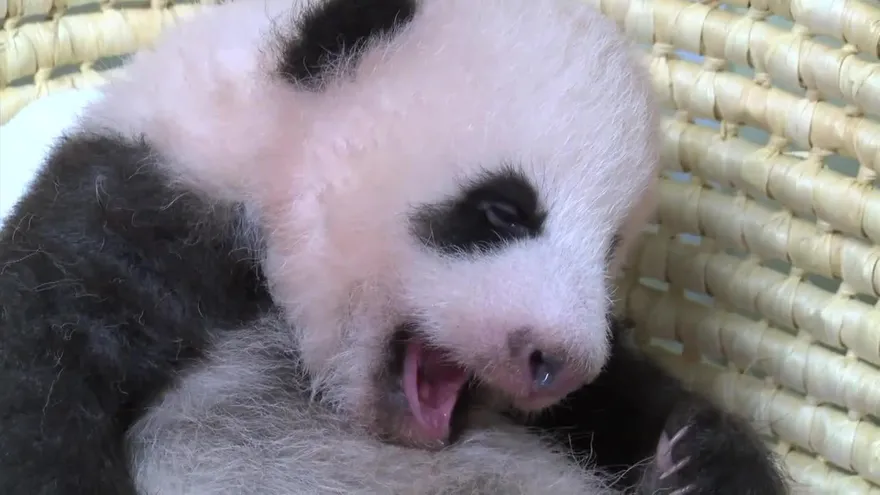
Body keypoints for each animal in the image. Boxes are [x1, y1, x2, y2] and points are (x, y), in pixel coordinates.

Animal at [0, 0, 789, 494]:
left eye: (609, 253)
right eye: (501, 211)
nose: (559, 363)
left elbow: (625, 393)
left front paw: (708, 458)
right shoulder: (136, 215)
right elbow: (40, 388)